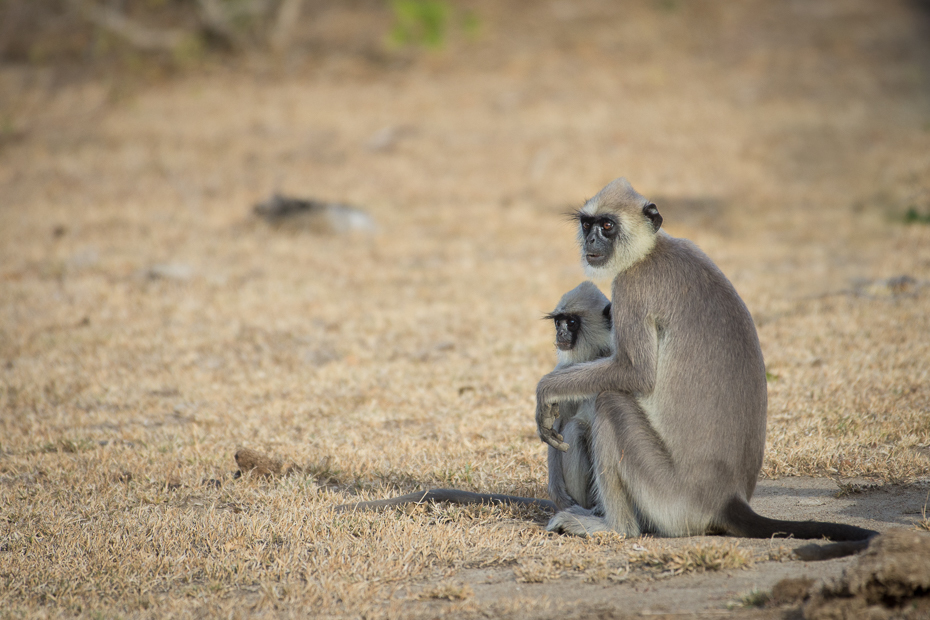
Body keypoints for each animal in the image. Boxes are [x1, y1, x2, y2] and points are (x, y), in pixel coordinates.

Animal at [536, 177, 876, 560]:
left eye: (607, 226)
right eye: (587, 224)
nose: (592, 241)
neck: (652, 251)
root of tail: (727, 499)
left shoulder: (634, 285)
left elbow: (634, 373)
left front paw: (546, 390)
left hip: (669, 494)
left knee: (610, 401)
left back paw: (614, 528)